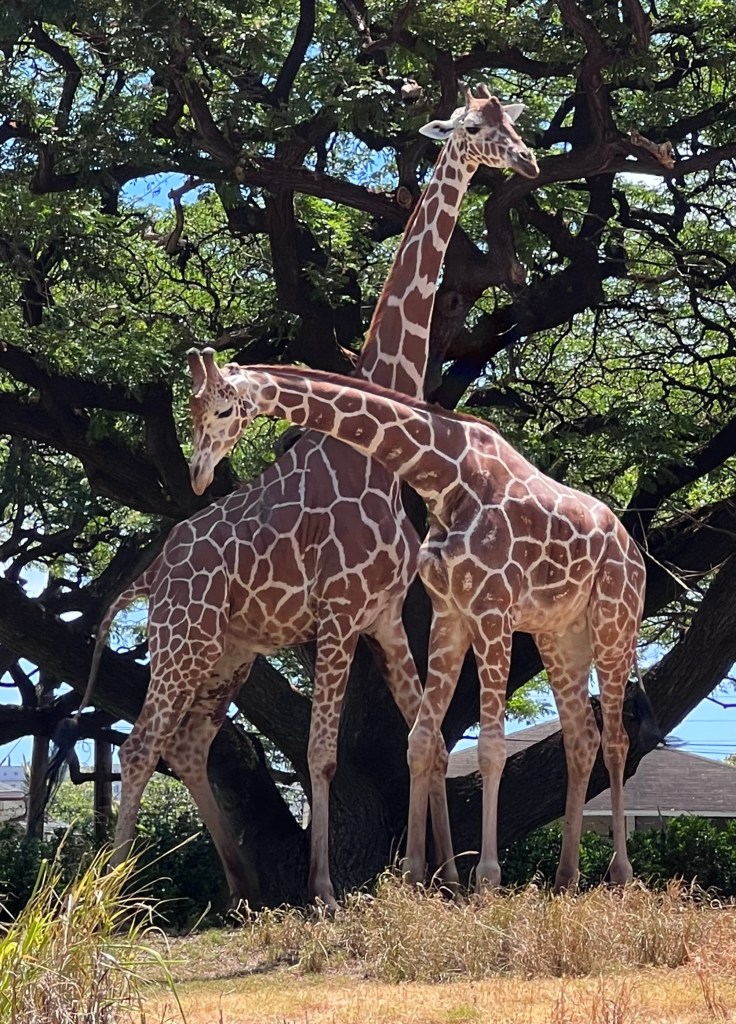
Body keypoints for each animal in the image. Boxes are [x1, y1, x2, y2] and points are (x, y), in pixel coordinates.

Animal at [77, 88, 539, 906]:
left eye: (510, 123)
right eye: (475, 127)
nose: (530, 160)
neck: (376, 464)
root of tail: (150, 574)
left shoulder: (383, 616)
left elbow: (423, 736)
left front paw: (442, 877)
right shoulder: (338, 616)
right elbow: (323, 753)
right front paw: (327, 888)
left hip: (228, 654)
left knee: (188, 746)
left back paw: (240, 891)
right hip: (183, 644)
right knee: (139, 746)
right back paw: (112, 891)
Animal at [188, 358, 649, 892]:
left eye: (223, 409)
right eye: (192, 407)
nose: (198, 475)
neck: (446, 480)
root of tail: (632, 548)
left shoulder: (492, 610)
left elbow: (491, 748)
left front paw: (486, 878)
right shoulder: (449, 615)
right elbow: (420, 741)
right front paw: (412, 873)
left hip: (614, 624)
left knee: (617, 740)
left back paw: (620, 874)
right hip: (559, 635)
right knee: (582, 737)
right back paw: (565, 877)